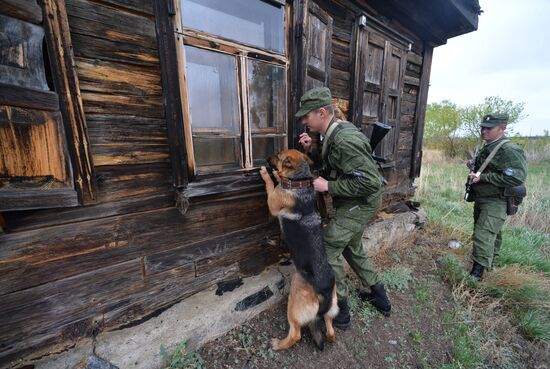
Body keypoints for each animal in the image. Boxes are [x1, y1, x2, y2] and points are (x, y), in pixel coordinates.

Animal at [260, 148, 340, 350]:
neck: (299, 182)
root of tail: (324, 289)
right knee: (330, 330)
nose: (266, 159)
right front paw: (275, 174)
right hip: (333, 306)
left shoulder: (273, 201)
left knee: (295, 334)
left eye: (278, 155)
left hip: (294, 303)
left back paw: (278, 344)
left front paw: (268, 174)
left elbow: (270, 185)